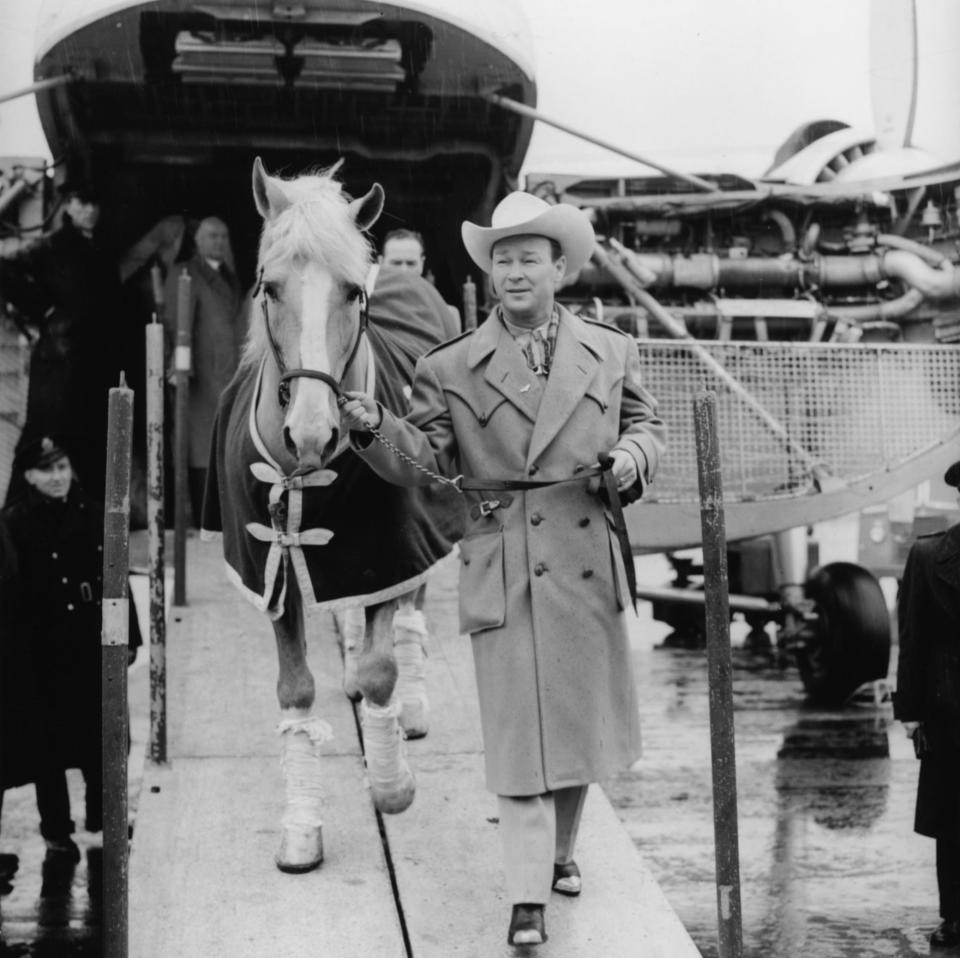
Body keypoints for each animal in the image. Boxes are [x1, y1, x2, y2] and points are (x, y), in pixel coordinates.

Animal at [201, 156, 464, 872]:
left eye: (350, 291)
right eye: (269, 286)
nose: (311, 433)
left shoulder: (388, 552)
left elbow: (381, 671)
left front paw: (393, 783)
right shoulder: (276, 566)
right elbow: (295, 692)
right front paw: (301, 830)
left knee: (410, 613)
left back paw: (414, 707)